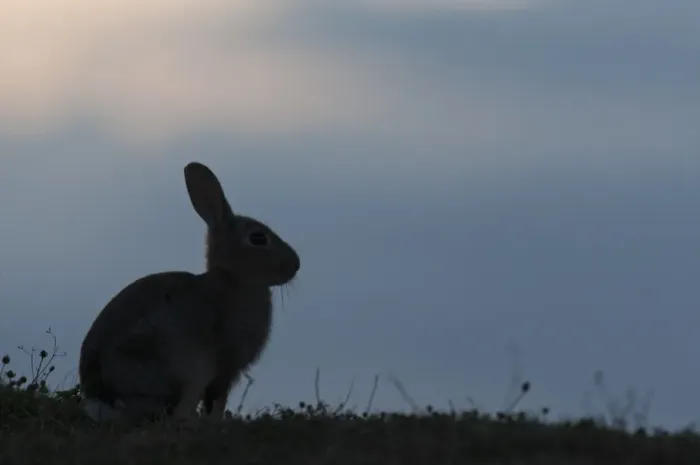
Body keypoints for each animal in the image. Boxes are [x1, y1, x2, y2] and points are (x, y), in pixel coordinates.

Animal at [78, 161, 300, 423]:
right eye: (258, 238)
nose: (296, 264)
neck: (234, 276)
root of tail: (103, 395)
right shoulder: (225, 366)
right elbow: (217, 400)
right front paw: (214, 422)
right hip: (180, 366)